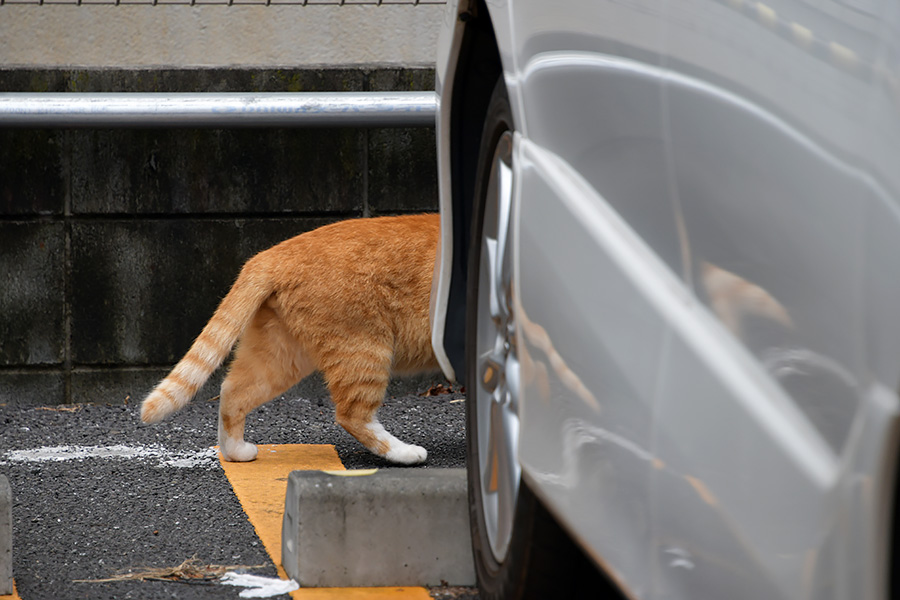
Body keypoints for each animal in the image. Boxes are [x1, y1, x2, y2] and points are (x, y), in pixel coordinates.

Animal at [138, 213, 442, 466]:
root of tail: (273, 253)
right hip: (364, 347)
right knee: (353, 415)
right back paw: (403, 453)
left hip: (281, 353)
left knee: (232, 392)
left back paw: (236, 451)